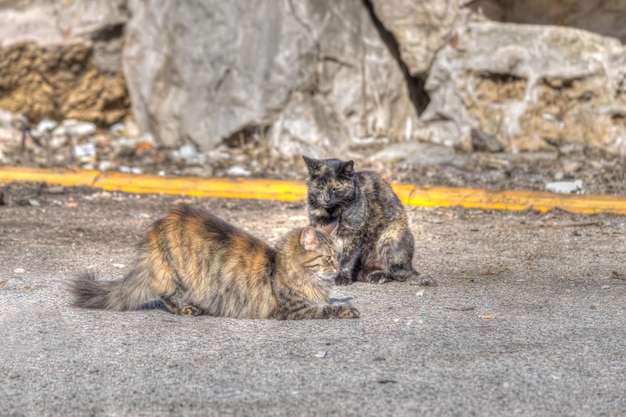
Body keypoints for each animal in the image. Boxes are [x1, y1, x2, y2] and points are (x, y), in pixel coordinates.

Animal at [69, 204, 356, 318]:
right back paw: (188, 309)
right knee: (165, 293)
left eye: (339, 256)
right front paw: (347, 309)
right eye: (327, 258)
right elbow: (326, 308)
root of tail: (157, 228)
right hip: (181, 273)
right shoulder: (296, 309)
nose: (339, 268)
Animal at [302, 156, 428, 286]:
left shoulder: (353, 234)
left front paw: (341, 278)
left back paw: (377, 275)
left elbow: (346, 260)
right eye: (319, 187)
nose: (326, 199)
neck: (331, 213)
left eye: (336, 187)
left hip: (391, 235)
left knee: (399, 273)